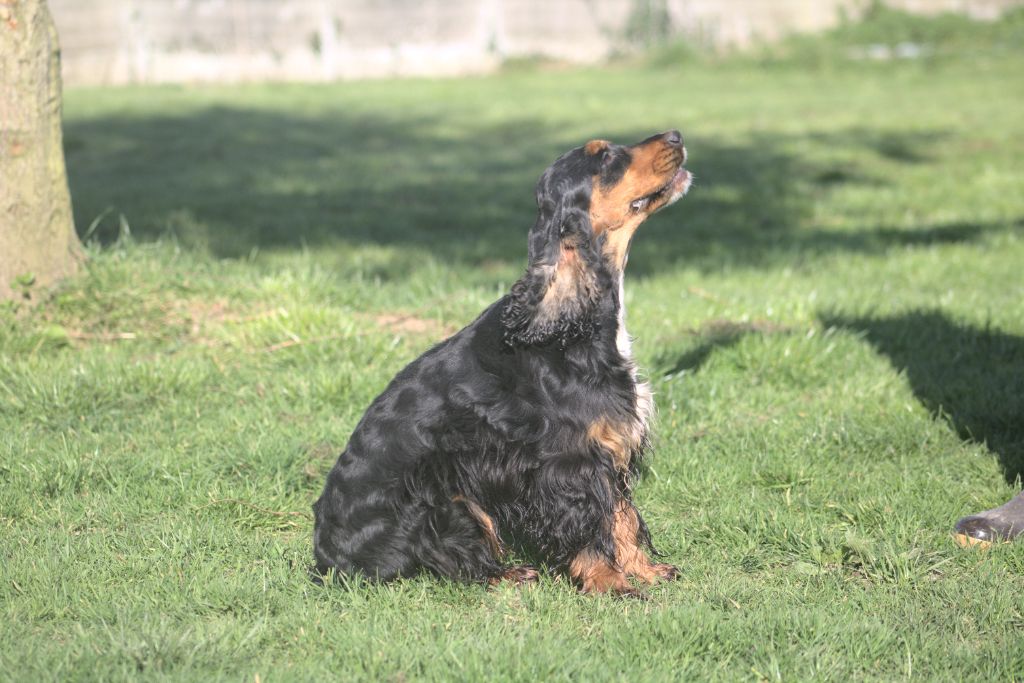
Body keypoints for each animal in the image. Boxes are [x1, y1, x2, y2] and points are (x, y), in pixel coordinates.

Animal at [315, 131, 692, 593]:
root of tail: (326, 557)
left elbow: (619, 515)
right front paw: (609, 582)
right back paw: (510, 573)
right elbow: (592, 521)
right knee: (453, 561)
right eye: (603, 157)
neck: (570, 323)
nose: (675, 135)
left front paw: (642, 569)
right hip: (442, 497)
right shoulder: (568, 460)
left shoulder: (609, 445)